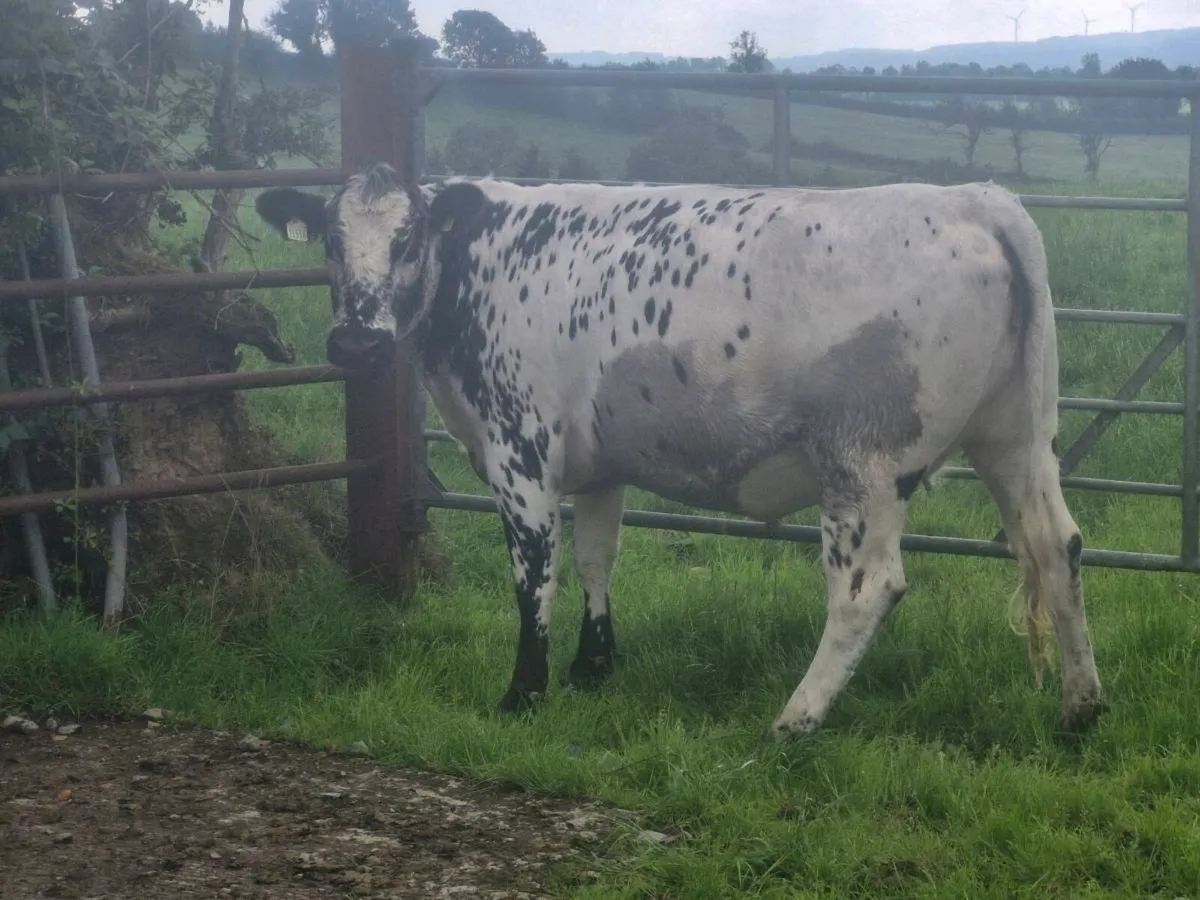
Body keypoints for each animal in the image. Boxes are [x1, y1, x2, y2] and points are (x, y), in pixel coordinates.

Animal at [254, 164, 1105, 737]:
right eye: (330, 237)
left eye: (408, 237)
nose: (356, 341)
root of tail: (973, 199)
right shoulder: (600, 462)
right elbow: (597, 557)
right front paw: (593, 668)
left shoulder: (520, 450)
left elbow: (536, 576)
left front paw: (524, 693)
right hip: (1016, 436)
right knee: (1056, 546)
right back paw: (1081, 707)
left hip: (864, 464)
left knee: (869, 588)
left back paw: (795, 718)